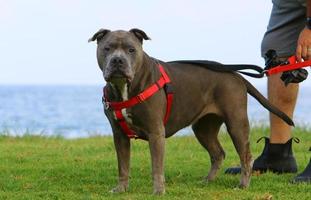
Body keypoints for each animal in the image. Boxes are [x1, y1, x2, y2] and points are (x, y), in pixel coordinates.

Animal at [88, 28, 294, 194]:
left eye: (131, 49)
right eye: (107, 48)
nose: (118, 60)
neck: (124, 88)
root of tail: (235, 74)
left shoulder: (156, 133)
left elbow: (156, 166)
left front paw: (158, 191)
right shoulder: (119, 135)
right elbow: (123, 166)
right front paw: (121, 189)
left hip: (236, 123)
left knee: (246, 156)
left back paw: (242, 185)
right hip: (203, 128)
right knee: (218, 153)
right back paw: (208, 180)